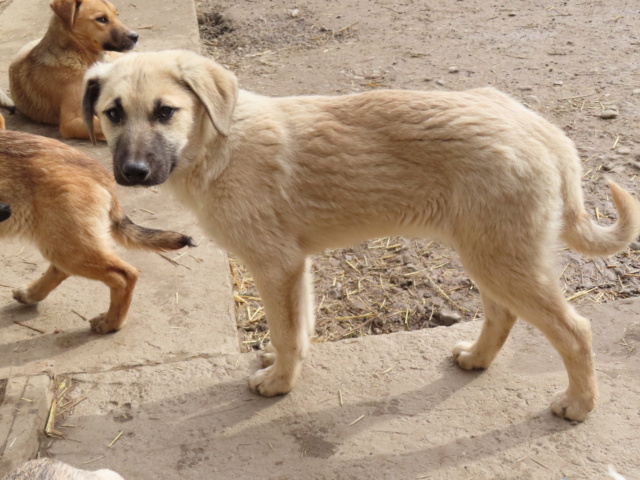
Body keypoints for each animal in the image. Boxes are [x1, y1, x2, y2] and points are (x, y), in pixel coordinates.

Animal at [0, 131, 194, 334]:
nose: (6, 208)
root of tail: (99, 171)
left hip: (68, 245)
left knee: (125, 275)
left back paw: (111, 322)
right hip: (64, 240)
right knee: (61, 269)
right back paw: (31, 294)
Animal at [82, 50, 640, 422]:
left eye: (165, 112)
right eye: (113, 113)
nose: (131, 173)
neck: (219, 143)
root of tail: (542, 130)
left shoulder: (275, 265)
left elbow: (285, 332)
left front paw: (279, 384)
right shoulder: (295, 265)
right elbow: (298, 326)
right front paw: (286, 368)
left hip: (502, 258)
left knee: (574, 331)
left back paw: (578, 405)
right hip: (490, 253)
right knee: (502, 314)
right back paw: (476, 360)